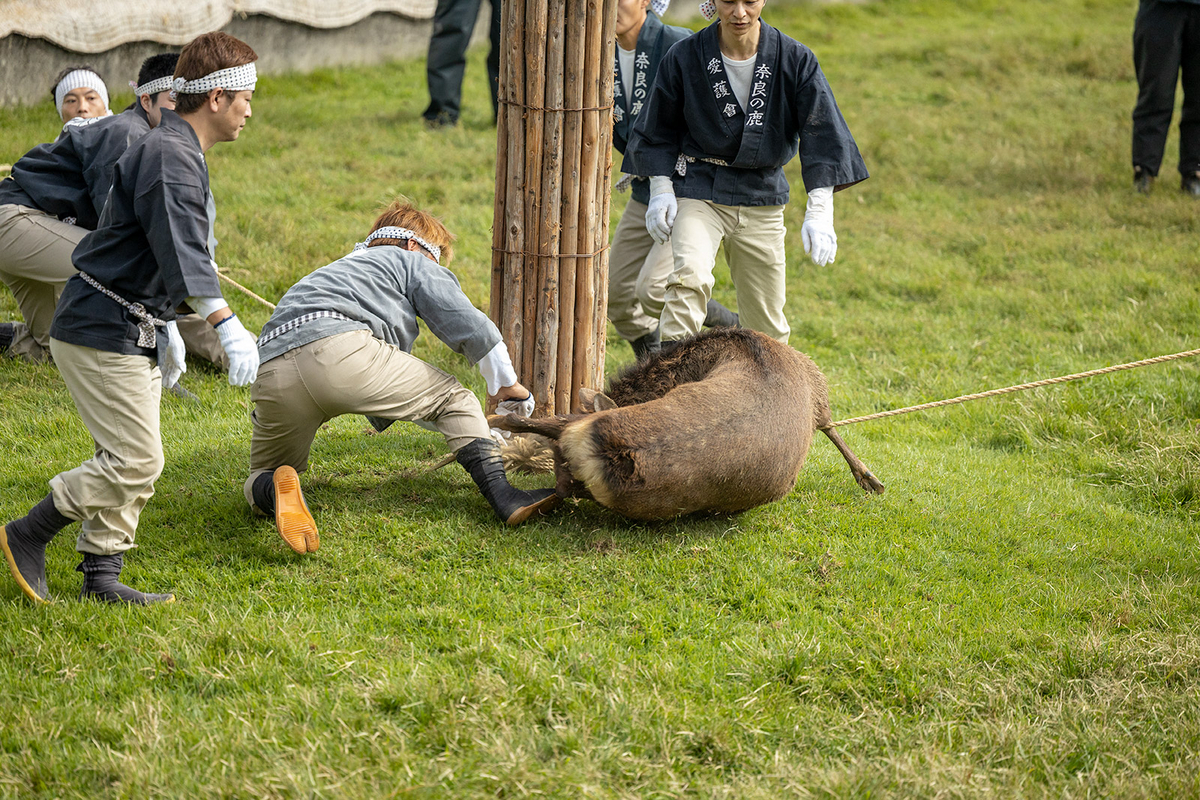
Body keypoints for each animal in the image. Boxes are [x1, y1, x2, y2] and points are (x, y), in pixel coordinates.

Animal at [487, 326, 883, 520]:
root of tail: (608, 454)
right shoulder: (816, 389)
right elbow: (829, 424)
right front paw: (868, 477)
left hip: (579, 447)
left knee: (554, 459)